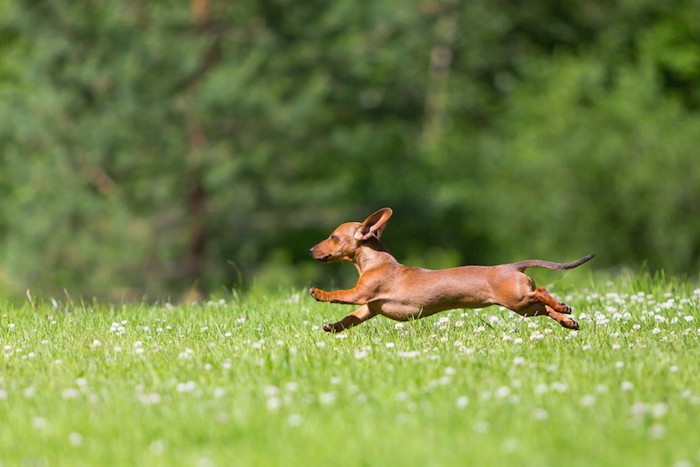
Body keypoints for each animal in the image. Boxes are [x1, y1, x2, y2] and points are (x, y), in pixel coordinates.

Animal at [308, 207, 592, 332]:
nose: (311, 250)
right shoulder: (369, 307)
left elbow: (338, 295)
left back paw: (562, 307)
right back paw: (567, 319)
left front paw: (318, 293)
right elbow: (351, 318)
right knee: (543, 307)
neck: (376, 261)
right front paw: (334, 327)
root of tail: (512, 266)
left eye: (333, 237)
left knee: (542, 292)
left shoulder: (361, 294)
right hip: (524, 307)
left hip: (518, 299)